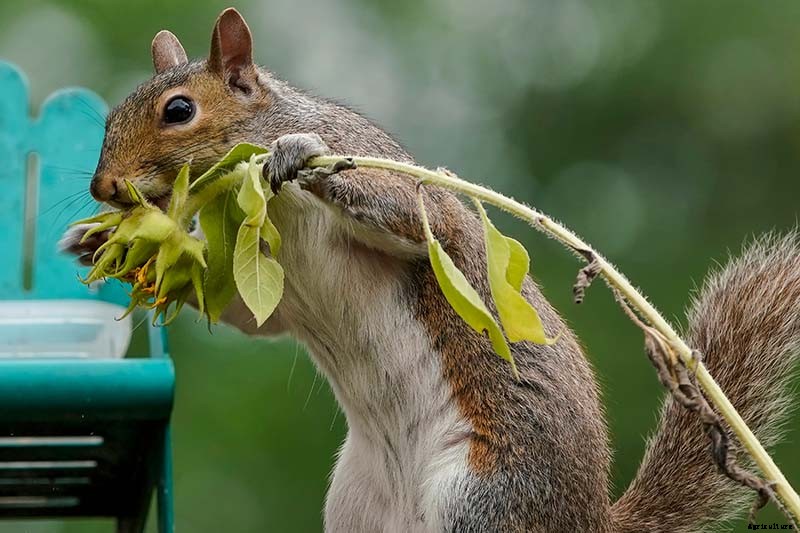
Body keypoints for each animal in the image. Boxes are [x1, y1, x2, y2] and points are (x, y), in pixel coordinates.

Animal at [61, 8, 800, 533]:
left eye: (179, 110)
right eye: (111, 114)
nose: (103, 188)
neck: (268, 204)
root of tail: (588, 521)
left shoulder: (390, 177)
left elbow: (425, 217)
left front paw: (299, 153)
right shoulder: (273, 287)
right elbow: (253, 320)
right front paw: (90, 245)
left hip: (482, 500)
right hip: (357, 509)